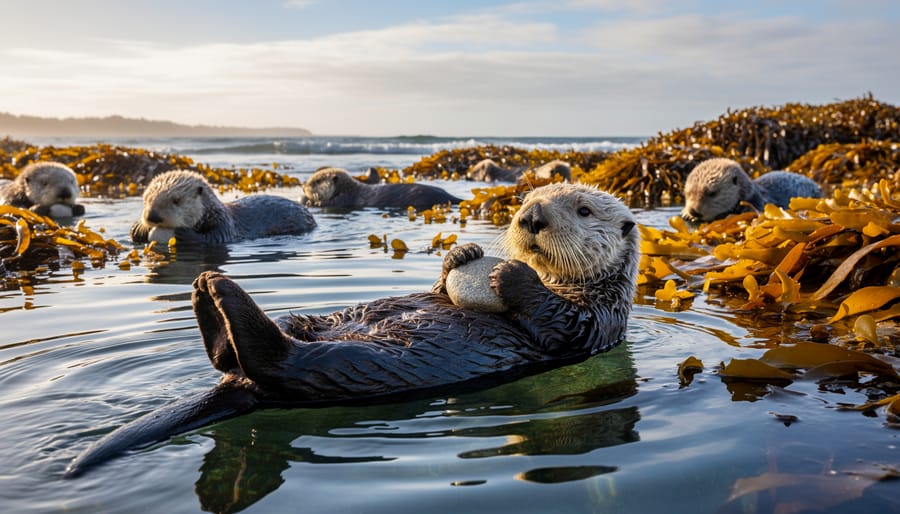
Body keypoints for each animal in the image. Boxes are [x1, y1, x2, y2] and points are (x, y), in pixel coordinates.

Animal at [65, 182, 639, 477]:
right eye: (523, 202)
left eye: (582, 209)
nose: (531, 218)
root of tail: (238, 385)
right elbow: (439, 288)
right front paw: (463, 254)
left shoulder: (594, 321)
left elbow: (557, 320)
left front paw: (508, 274)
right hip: (319, 324)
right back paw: (210, 294)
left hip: (351, 366)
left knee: (280, 362)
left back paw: (222, 298)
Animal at [130, 170, 316, 245]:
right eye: (146, 199)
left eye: (176, 200)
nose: (152, 216)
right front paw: (140, 229)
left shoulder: (223, 223)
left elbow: (213, 238)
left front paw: (182, 233)